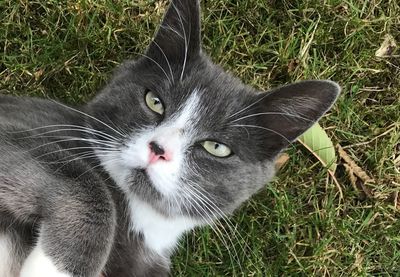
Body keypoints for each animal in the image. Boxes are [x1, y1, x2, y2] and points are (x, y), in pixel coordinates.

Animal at [0, 0, 340, 276]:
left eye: (216, 147)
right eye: (154, 101)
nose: (158, 149)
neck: (141, 219)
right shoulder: (18, 131)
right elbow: (87, 185)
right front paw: (52, 270)